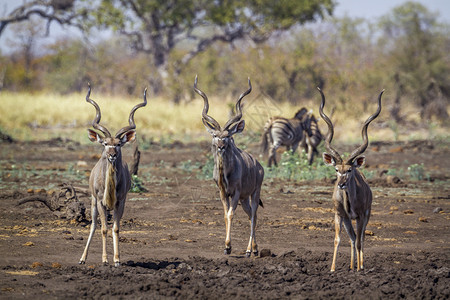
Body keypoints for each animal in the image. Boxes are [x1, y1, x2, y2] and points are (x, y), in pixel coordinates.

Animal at [78, 84, 147, 268]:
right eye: (105, 143)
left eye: (118, 144)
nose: (112, 155)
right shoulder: (100, 201)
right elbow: (103, 229)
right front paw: (104, 259)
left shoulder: (120, 202)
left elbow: (115, 228)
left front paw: (116, 259)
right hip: (93, 202)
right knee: (94, 225)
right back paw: (82, 258)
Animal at [193, 76, 264, 256]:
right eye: (215, 135)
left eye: (227, 136)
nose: (220, 146)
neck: (226, 173)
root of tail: (259, 166)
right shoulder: (223, 192)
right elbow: (226, 215)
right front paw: (226, 247)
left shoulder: (236, 192)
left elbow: (231, 214)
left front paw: (228, 246)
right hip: (245, 199)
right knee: (250, 215)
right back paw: (254, 249)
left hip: (254, 193)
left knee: (254, 215)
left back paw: (249, 250)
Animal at [318, 87, 384, 272]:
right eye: (336, 170)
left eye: (349, 170)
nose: (341, 185)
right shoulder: (339, 215)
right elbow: (338, 240)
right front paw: (333, 269)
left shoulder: (361, 215)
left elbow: (361, 240)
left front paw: (360, 268)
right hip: (348, 220)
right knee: (353, 238)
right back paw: (351, 265)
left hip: (367, 215)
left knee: (361, 238)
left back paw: (359, 266)